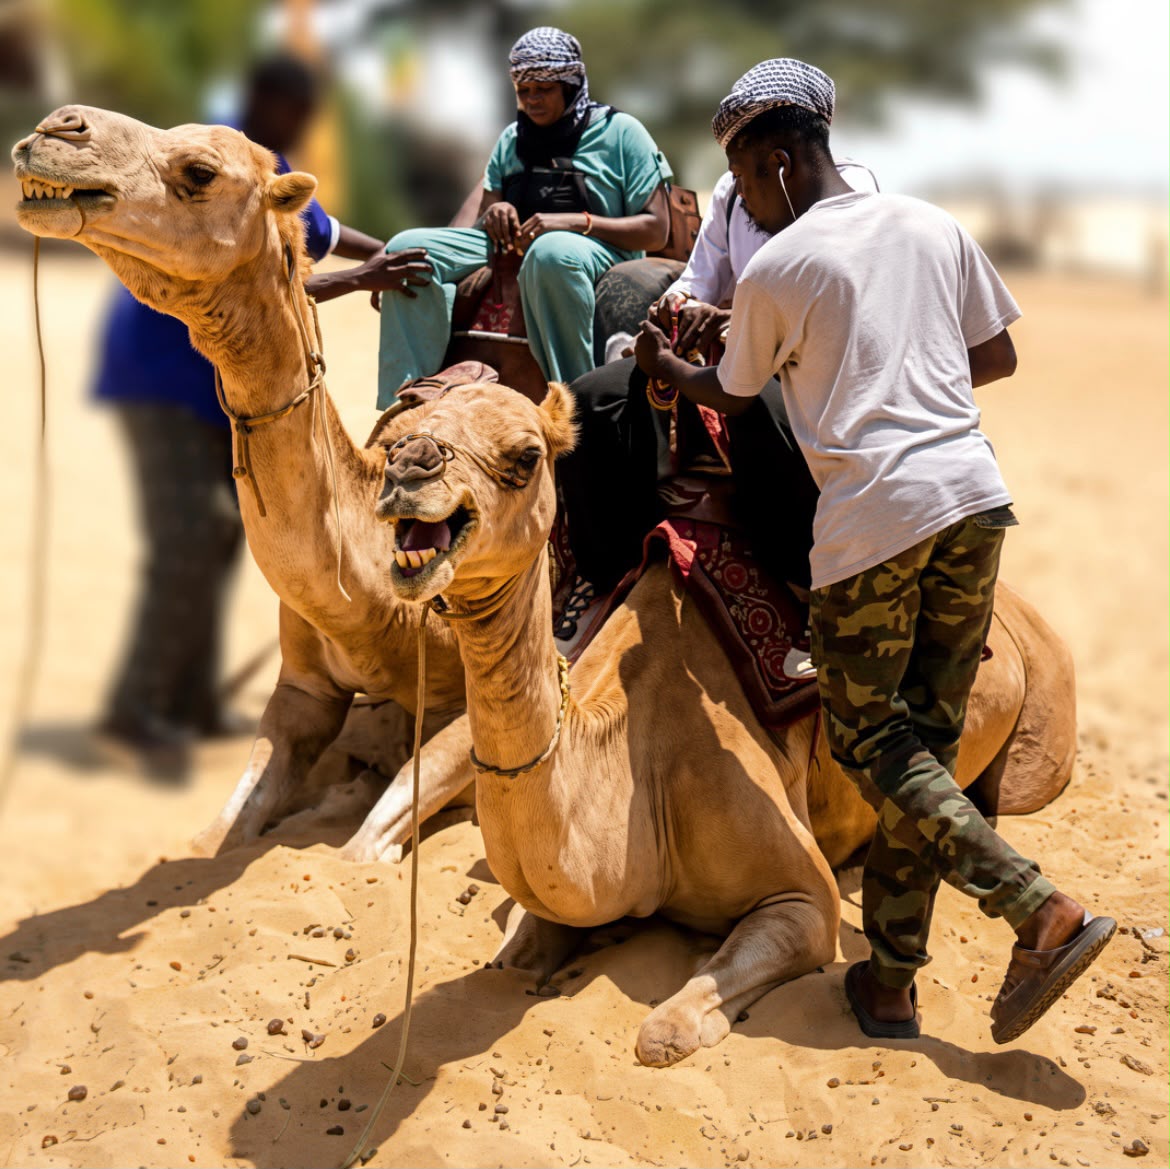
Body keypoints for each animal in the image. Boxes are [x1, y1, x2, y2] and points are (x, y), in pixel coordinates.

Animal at [374, 381, 1076, 1067]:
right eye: (396, 434)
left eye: (526, 456)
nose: (411, 465)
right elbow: (514, 960)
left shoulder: (805, 900)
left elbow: (664, 1031)